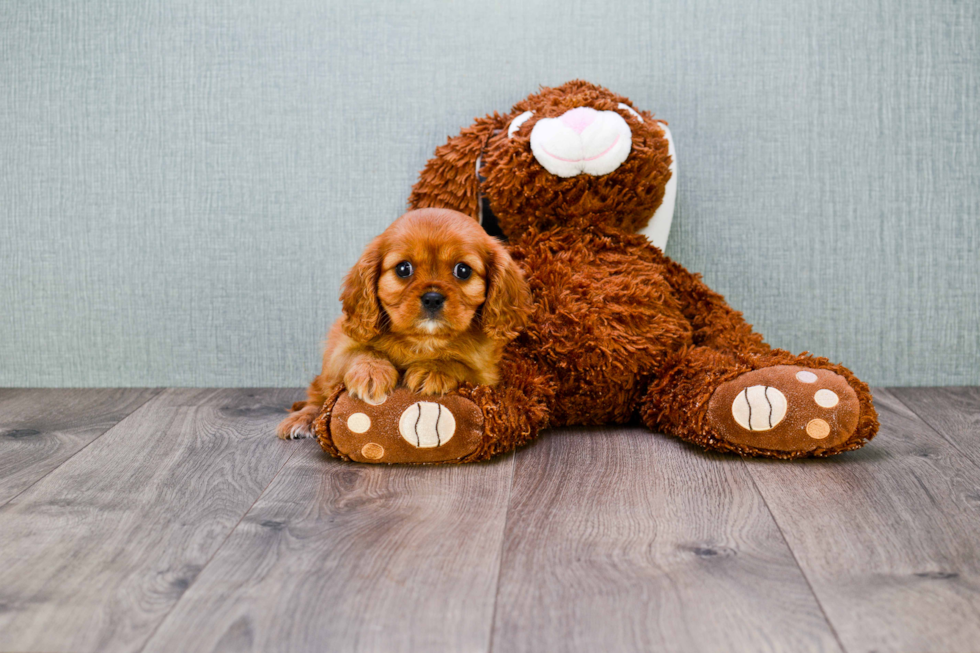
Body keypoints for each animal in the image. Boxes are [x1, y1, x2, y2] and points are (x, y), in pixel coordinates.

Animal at [278, 208, 528, 438]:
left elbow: (461, 365)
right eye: (403, 268)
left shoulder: (486, 376)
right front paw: (372, 372)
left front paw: (433, 369)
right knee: (317, 395)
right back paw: (304, 419)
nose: (432, 298)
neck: (423, 340)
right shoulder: (339, 349)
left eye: (463, 270)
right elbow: (360, 352)